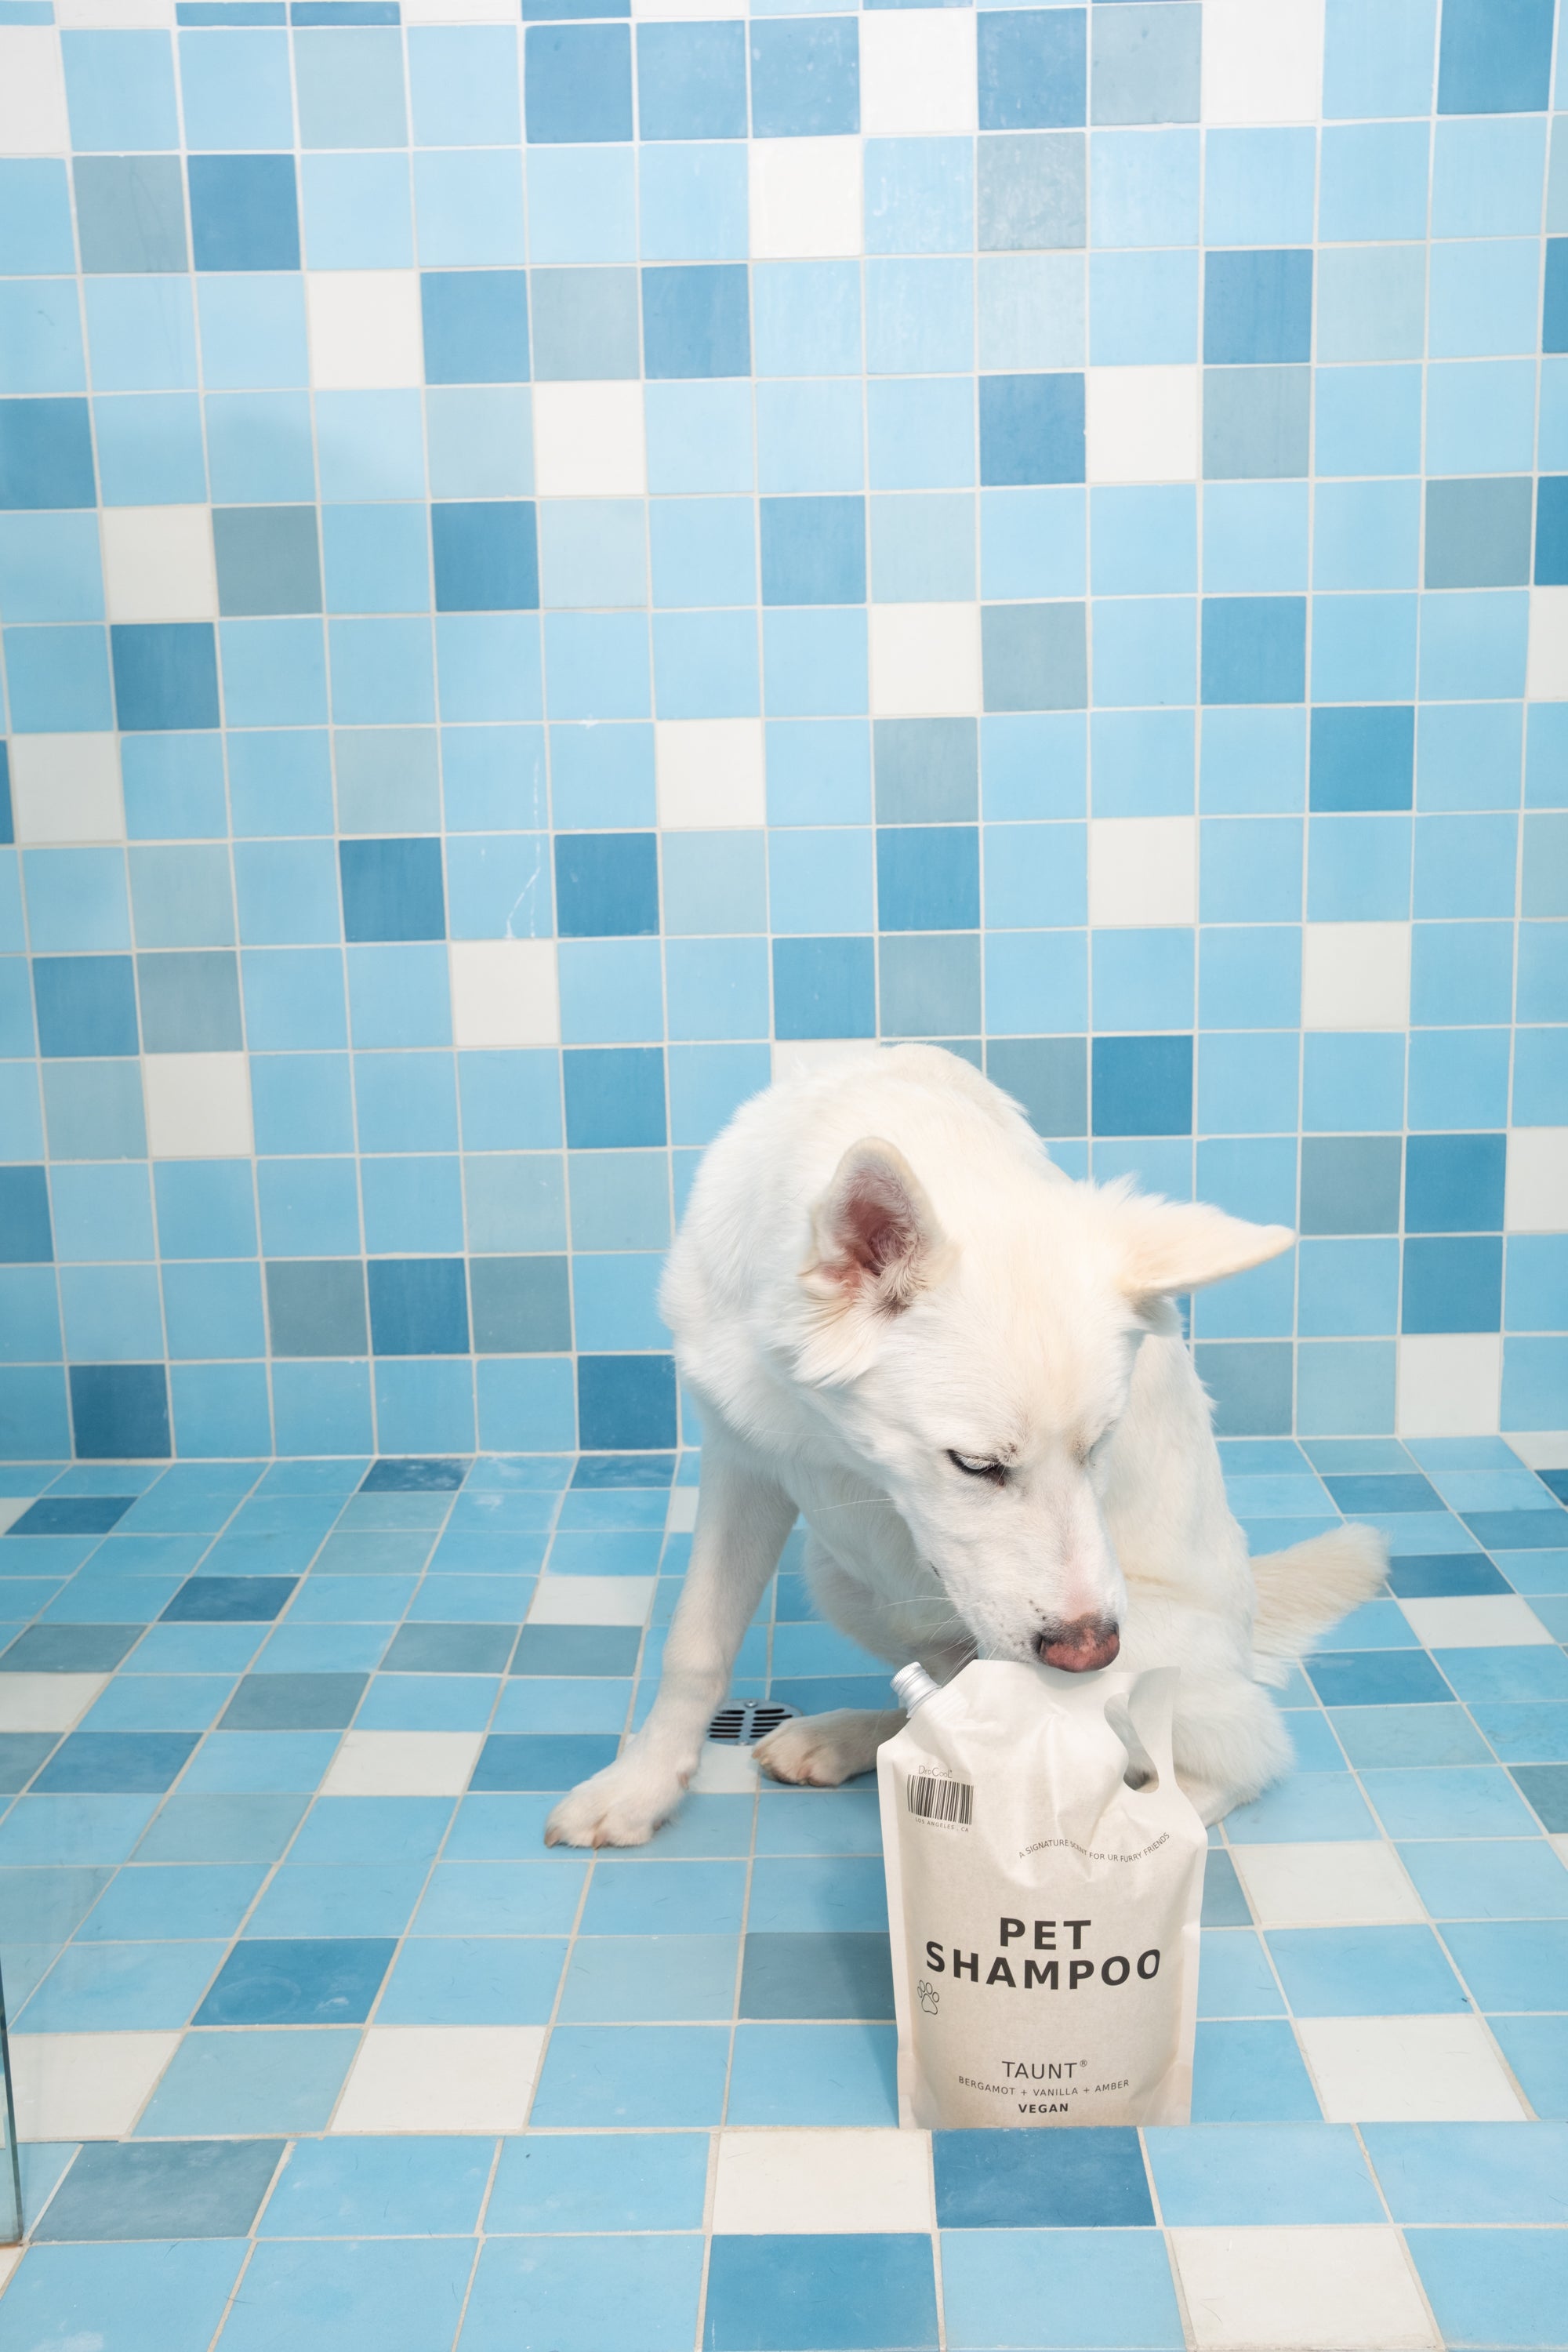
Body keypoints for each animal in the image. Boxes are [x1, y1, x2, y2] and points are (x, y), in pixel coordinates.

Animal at [552, 1058, 1382, 1844]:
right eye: (977, 1465)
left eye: (1099, 1446)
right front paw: (640, 1788)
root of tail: (1246, 1629)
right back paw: (853, 1741)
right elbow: (695, 1644)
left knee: (1236, 1757)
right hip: (845, 1583)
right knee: (948, 1704)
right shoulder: (739, 1458)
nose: (1090, 1653)